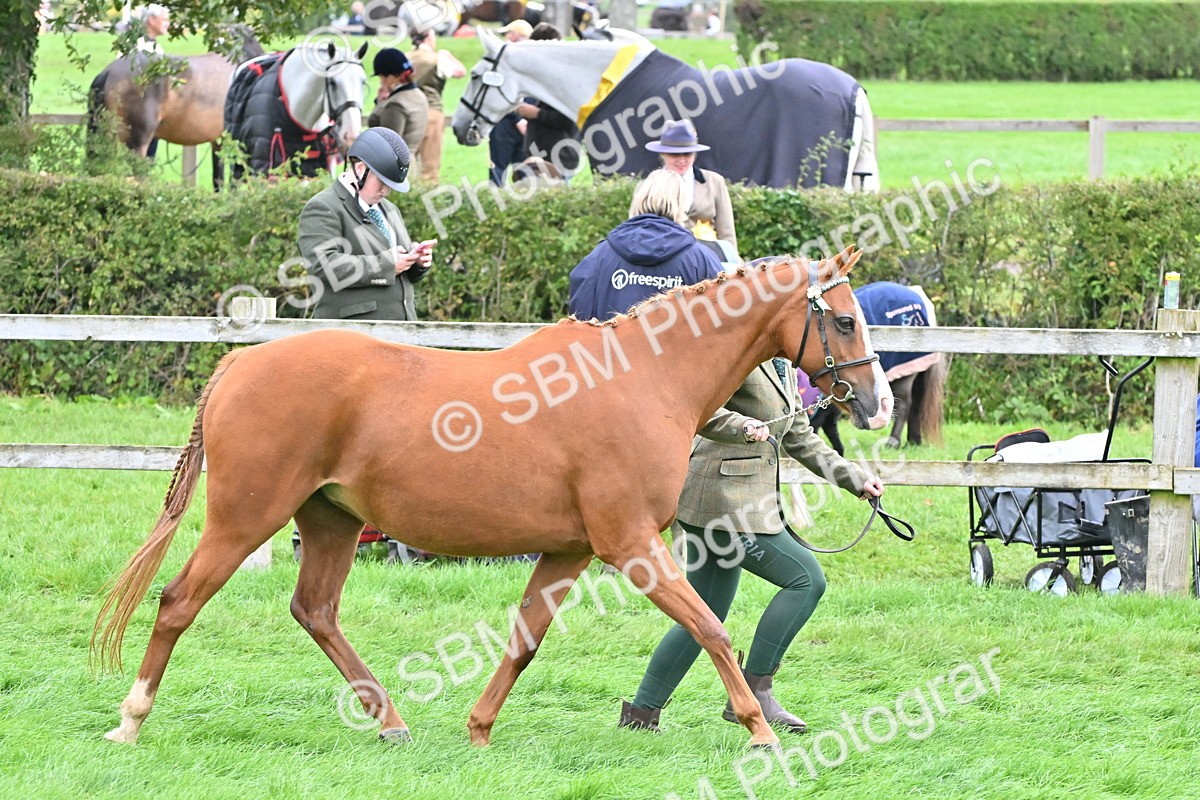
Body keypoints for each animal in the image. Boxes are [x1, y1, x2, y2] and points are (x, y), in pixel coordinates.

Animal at [92, 246, 893, 751]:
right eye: (844, 319)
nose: (878, 403)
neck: (644, 378)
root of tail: (240, 362)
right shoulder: (630, 544)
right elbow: (711, 628)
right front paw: (757, 727)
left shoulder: (569, 550)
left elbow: (524, 641)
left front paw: (478, 729)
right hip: (245, 518)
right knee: (178, 602)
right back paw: (130, 718)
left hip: (330, 520)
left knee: (314, 610)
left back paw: (391, 720)